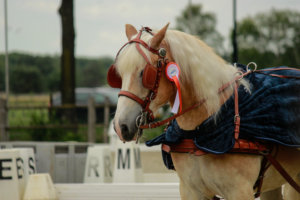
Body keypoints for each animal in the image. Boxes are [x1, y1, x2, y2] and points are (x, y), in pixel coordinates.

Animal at [108, 22, 300, 199]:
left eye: (144, 73)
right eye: (119, 74)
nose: (120, 126)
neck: (199, 129)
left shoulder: (239, 190)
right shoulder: (190, 190)